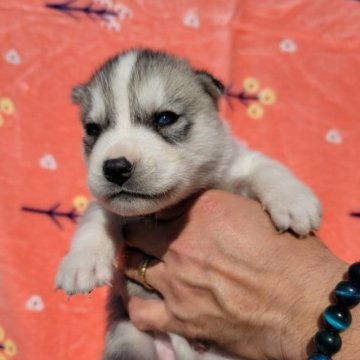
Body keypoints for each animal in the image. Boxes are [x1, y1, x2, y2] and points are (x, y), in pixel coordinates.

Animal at [55, 48, 320, 360]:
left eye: (165, 118)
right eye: (93, 129)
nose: (115, 167)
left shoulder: (235, 164)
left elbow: (265, 168)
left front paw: (293, 200)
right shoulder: (109, 206)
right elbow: (95, 218)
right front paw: (81, 262)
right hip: (127, 335)